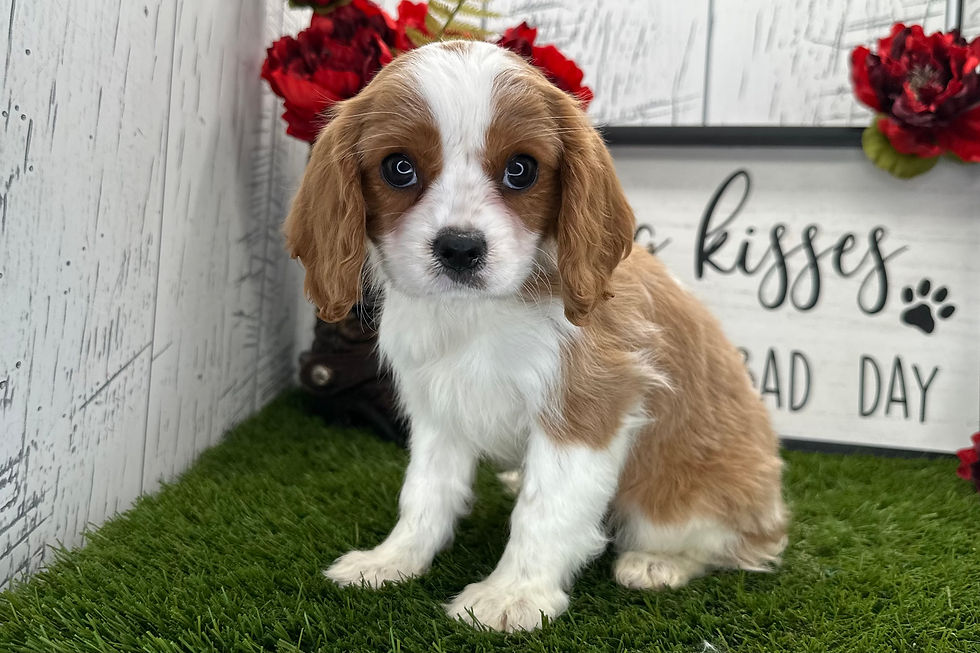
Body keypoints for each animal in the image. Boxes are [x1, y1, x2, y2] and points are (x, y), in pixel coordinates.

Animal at [285, 40, 787, 632]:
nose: (460, 248)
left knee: (732, 545)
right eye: (399, 168)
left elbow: (546, 509)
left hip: (685, 504)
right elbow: (425, 492)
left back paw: (656, 562)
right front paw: (393, 560)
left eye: (521, 170)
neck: (479, 313)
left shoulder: (589, 403)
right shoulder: (439, 408)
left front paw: (513, 595)